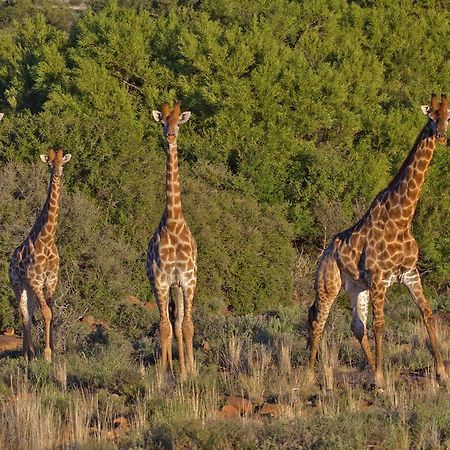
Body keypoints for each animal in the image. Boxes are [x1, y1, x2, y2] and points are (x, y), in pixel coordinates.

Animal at [8, 148, 72, 362]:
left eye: (62, 163)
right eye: (50, 164)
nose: (57, 173)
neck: (47, 239)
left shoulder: (51, 280)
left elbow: (50, 312)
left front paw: (52, 351)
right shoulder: (36, 280)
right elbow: (46, 313)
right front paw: (46, 354)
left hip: (30, 289)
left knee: (29, 313)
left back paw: (29, 352)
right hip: (18, 285)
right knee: (24, 315)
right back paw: (29, 354)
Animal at [308, 94, 450, 386]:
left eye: (448, 116)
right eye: (431, 117)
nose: (441, 136)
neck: (402, 220)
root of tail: (325, 252)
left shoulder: (410, 273)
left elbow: (427, 314)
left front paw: (442, 372)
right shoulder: (379, 278)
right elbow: (381, 325)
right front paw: (382, 378)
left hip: (355, 286)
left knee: (356, 326)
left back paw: (373, 370)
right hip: (329, 283)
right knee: (318, 321)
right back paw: (305, 377)